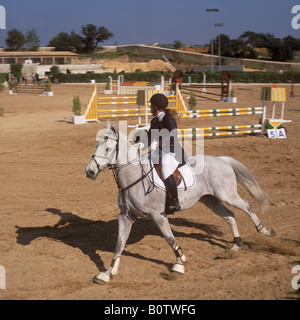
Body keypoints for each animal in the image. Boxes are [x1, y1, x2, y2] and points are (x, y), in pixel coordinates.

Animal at [84, 121, 274, 284]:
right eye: (96, 145)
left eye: (108, 148)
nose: (90, 172)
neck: (134, 177)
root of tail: (221, 159)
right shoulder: (126, 216)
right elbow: (119, 245)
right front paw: (107, 273)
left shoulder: (158, 215)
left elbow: (169, 239)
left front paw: (179, 263)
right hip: (210, 199)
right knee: (230, 216)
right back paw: (236, 246)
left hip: (227, 195)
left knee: (247, 206)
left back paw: (264, 231)